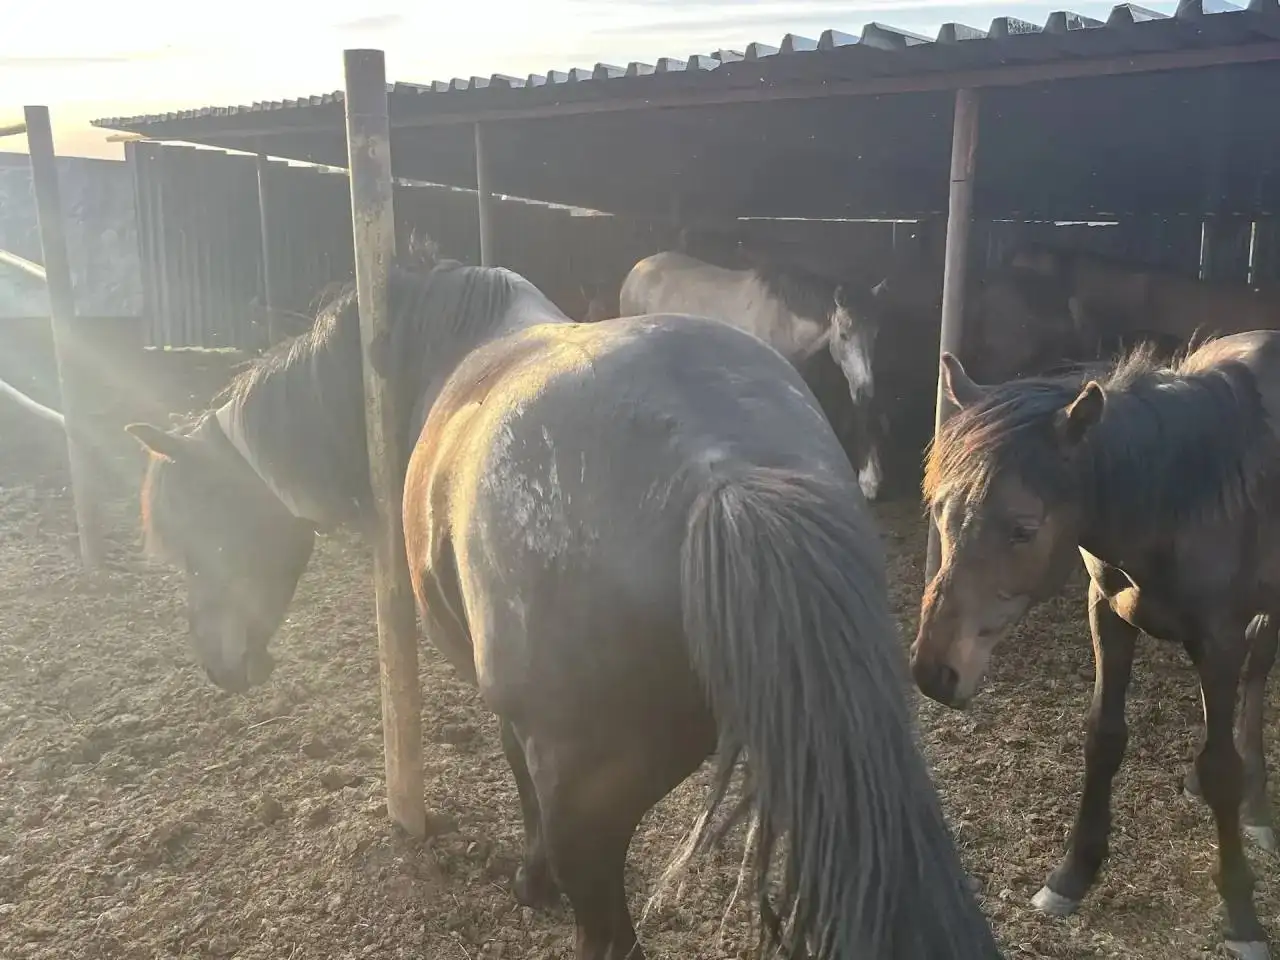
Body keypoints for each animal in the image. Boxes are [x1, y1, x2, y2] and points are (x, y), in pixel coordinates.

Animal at [910, 335, 1280, 960]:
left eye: (1023, 529)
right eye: (940, 510)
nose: (932, 672)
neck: (1179, 498)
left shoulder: (1219, 640)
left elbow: (1223, 767)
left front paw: (1240, 911)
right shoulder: (1107, 612)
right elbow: (1103, 738)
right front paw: (1072, 875)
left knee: (1258, 674)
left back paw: (1256, 807)